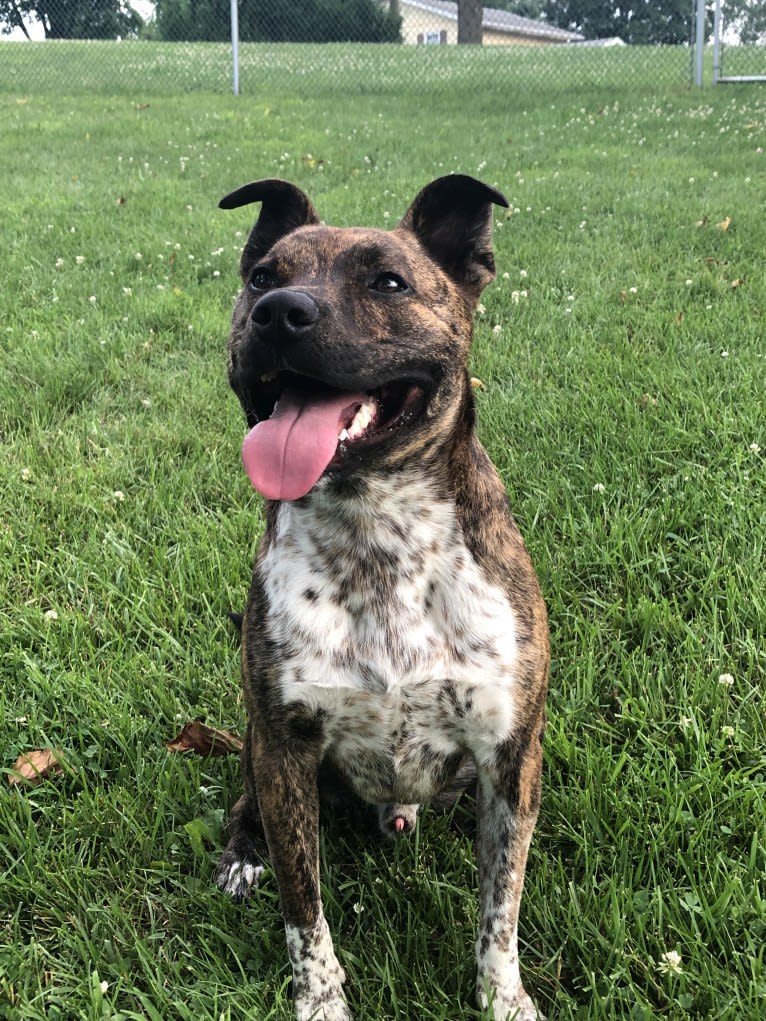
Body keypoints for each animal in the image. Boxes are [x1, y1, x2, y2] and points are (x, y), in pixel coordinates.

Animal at [216, 177, 551, 1021]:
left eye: (389, 283)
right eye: (261, 277)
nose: (280, 312)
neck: (375, 532)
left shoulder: (511, 756)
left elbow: (501, 901)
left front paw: (503, 994)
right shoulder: (286, 750)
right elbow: (305, 908)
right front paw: (320, 999)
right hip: (257, 744)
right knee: (246, 805)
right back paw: (241, 853)